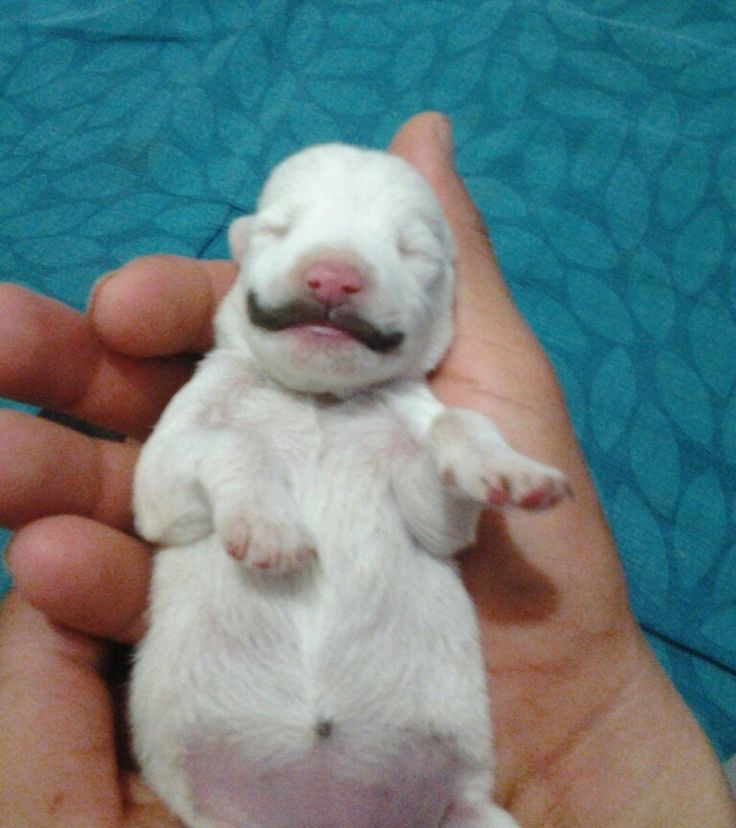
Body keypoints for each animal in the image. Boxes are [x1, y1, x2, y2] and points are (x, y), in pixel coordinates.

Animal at [131, 146, 568, 824]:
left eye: (412, 250)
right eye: (278, 228)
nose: (334, 277)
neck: (321, 398)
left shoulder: (424, 471)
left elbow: (452, 436)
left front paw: (503, 466)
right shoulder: (166, 465)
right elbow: (228, 445)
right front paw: (271, 528)